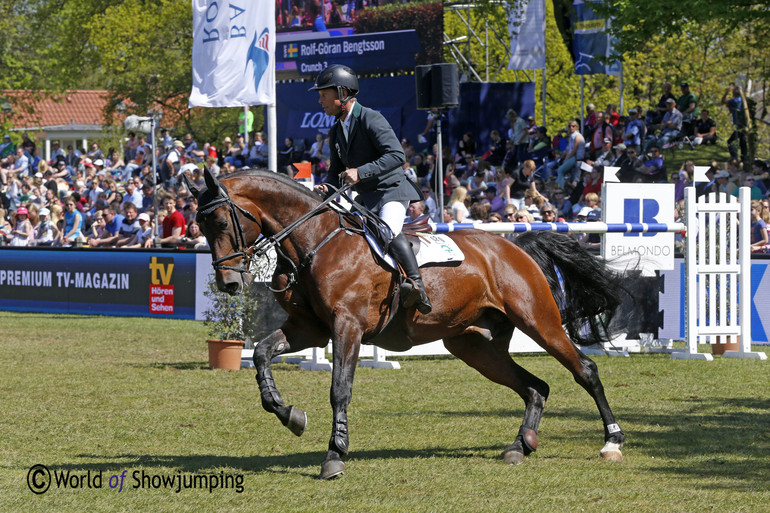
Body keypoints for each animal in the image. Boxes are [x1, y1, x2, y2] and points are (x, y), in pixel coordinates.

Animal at [186, 170, 624, 478]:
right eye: (201, 226)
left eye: (221, 223)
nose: (228, 284)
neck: (315, 240)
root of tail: (514, 247)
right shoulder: (309, 329)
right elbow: (261, 353)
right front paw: (290, 415)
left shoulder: (347, 327)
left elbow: (339, 390)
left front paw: (335, 454)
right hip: (473, 345)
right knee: (535, 387)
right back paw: (522, 445)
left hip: (539, 322)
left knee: (585, 370)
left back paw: (613, 441)